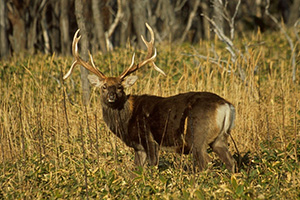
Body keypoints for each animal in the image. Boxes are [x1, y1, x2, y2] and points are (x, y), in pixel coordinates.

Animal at [62, 23, 237, 173]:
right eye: (103, 87)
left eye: (120, 87)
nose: (111, 96)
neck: (126, 120)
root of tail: (226, 105)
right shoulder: (138, 148)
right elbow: (135, 171)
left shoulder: (149, 139)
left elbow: (153, 166)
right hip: (219, 138)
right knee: (231, 162)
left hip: (198, 135)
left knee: (206, 162)